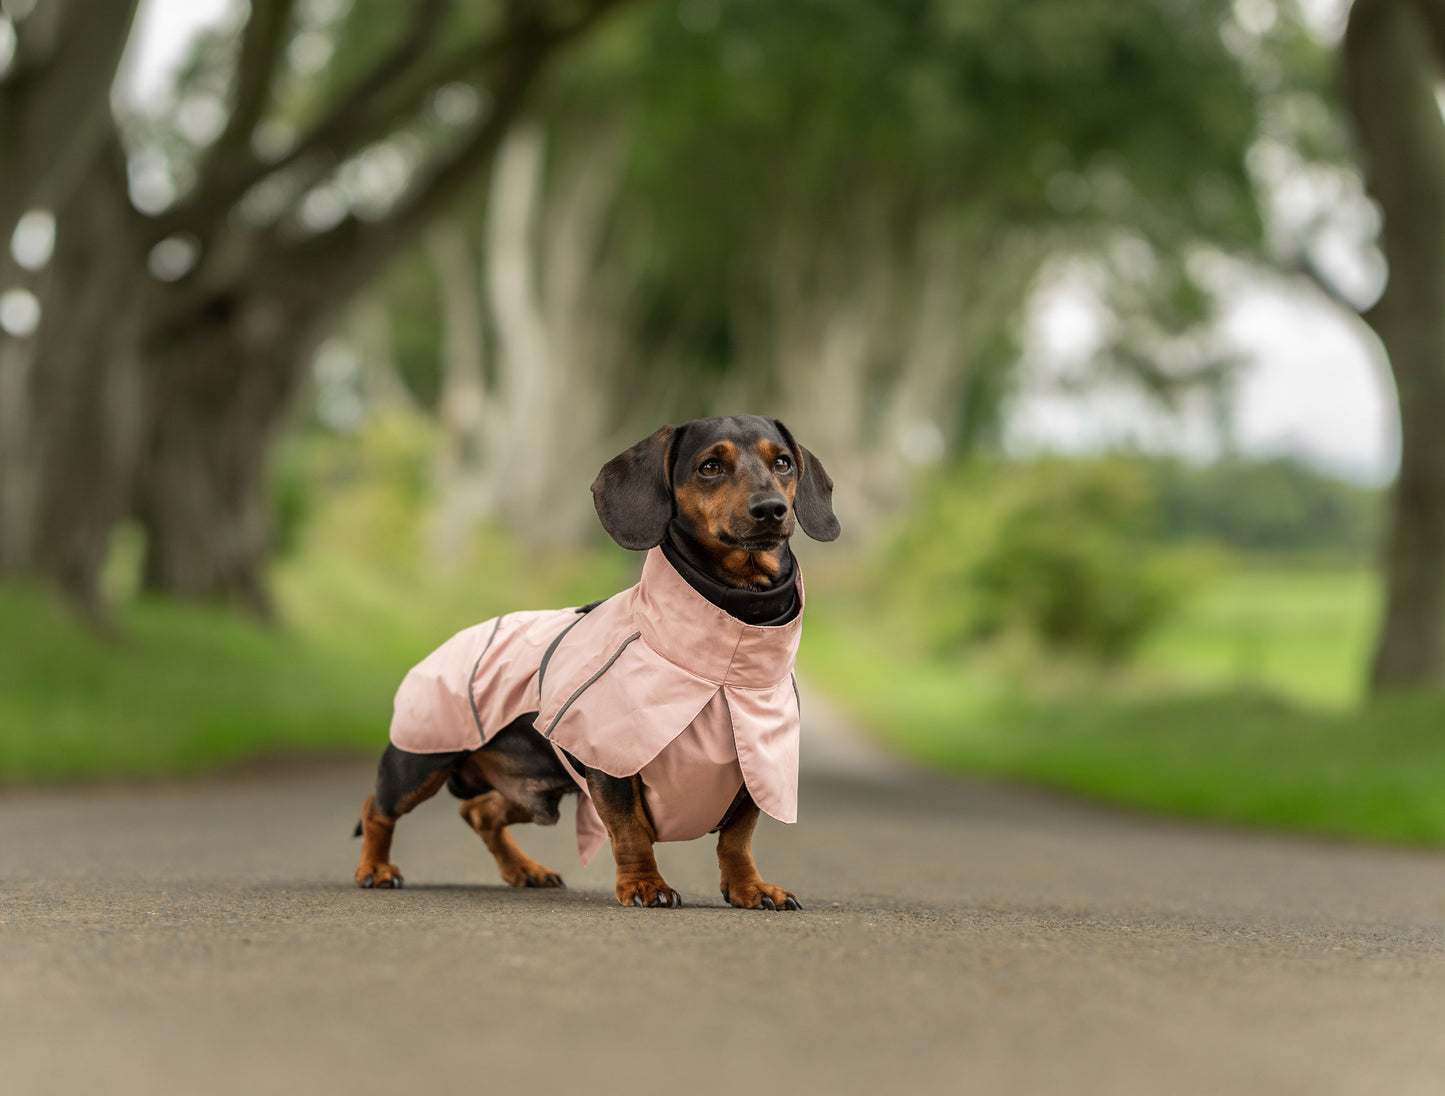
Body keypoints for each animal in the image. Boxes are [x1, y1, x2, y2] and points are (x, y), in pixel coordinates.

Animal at [354, 413, 843, 908]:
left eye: (782, 462)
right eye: (709, 467)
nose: (771, 509)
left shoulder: (755, 766)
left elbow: (737, 839)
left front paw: (751, 888)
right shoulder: (613, 763)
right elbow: (630, 831)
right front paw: (645, 884)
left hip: (534, 789)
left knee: (480, 812)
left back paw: (525, 869)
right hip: (419, 762)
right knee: (377, 808)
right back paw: (375, 869)